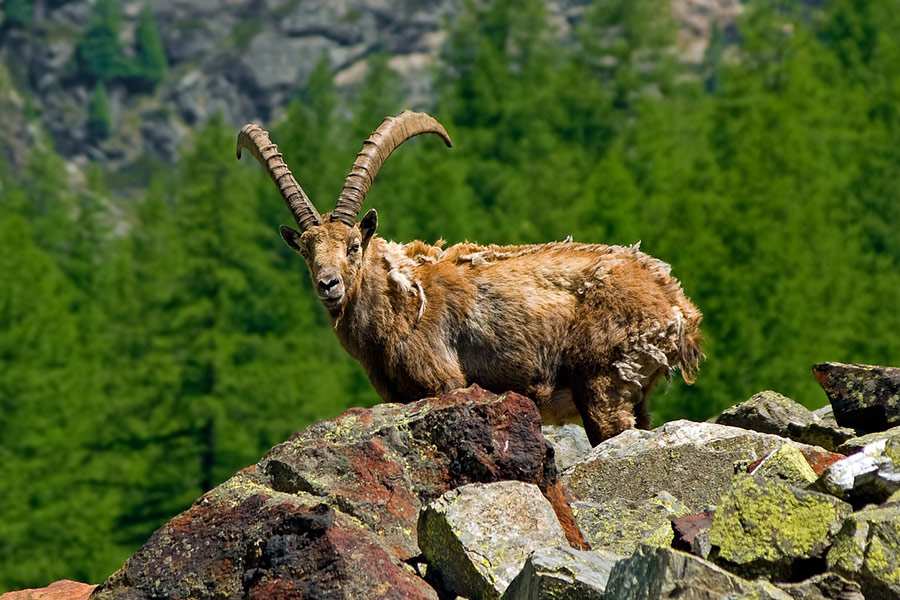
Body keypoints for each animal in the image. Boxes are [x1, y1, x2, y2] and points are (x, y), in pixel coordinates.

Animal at [236, 111, 702, 445]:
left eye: (353, 245)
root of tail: (676, 306)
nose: (328, 284)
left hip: (603, 384)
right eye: (306, 252)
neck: (400, 301)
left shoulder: (443, 382)